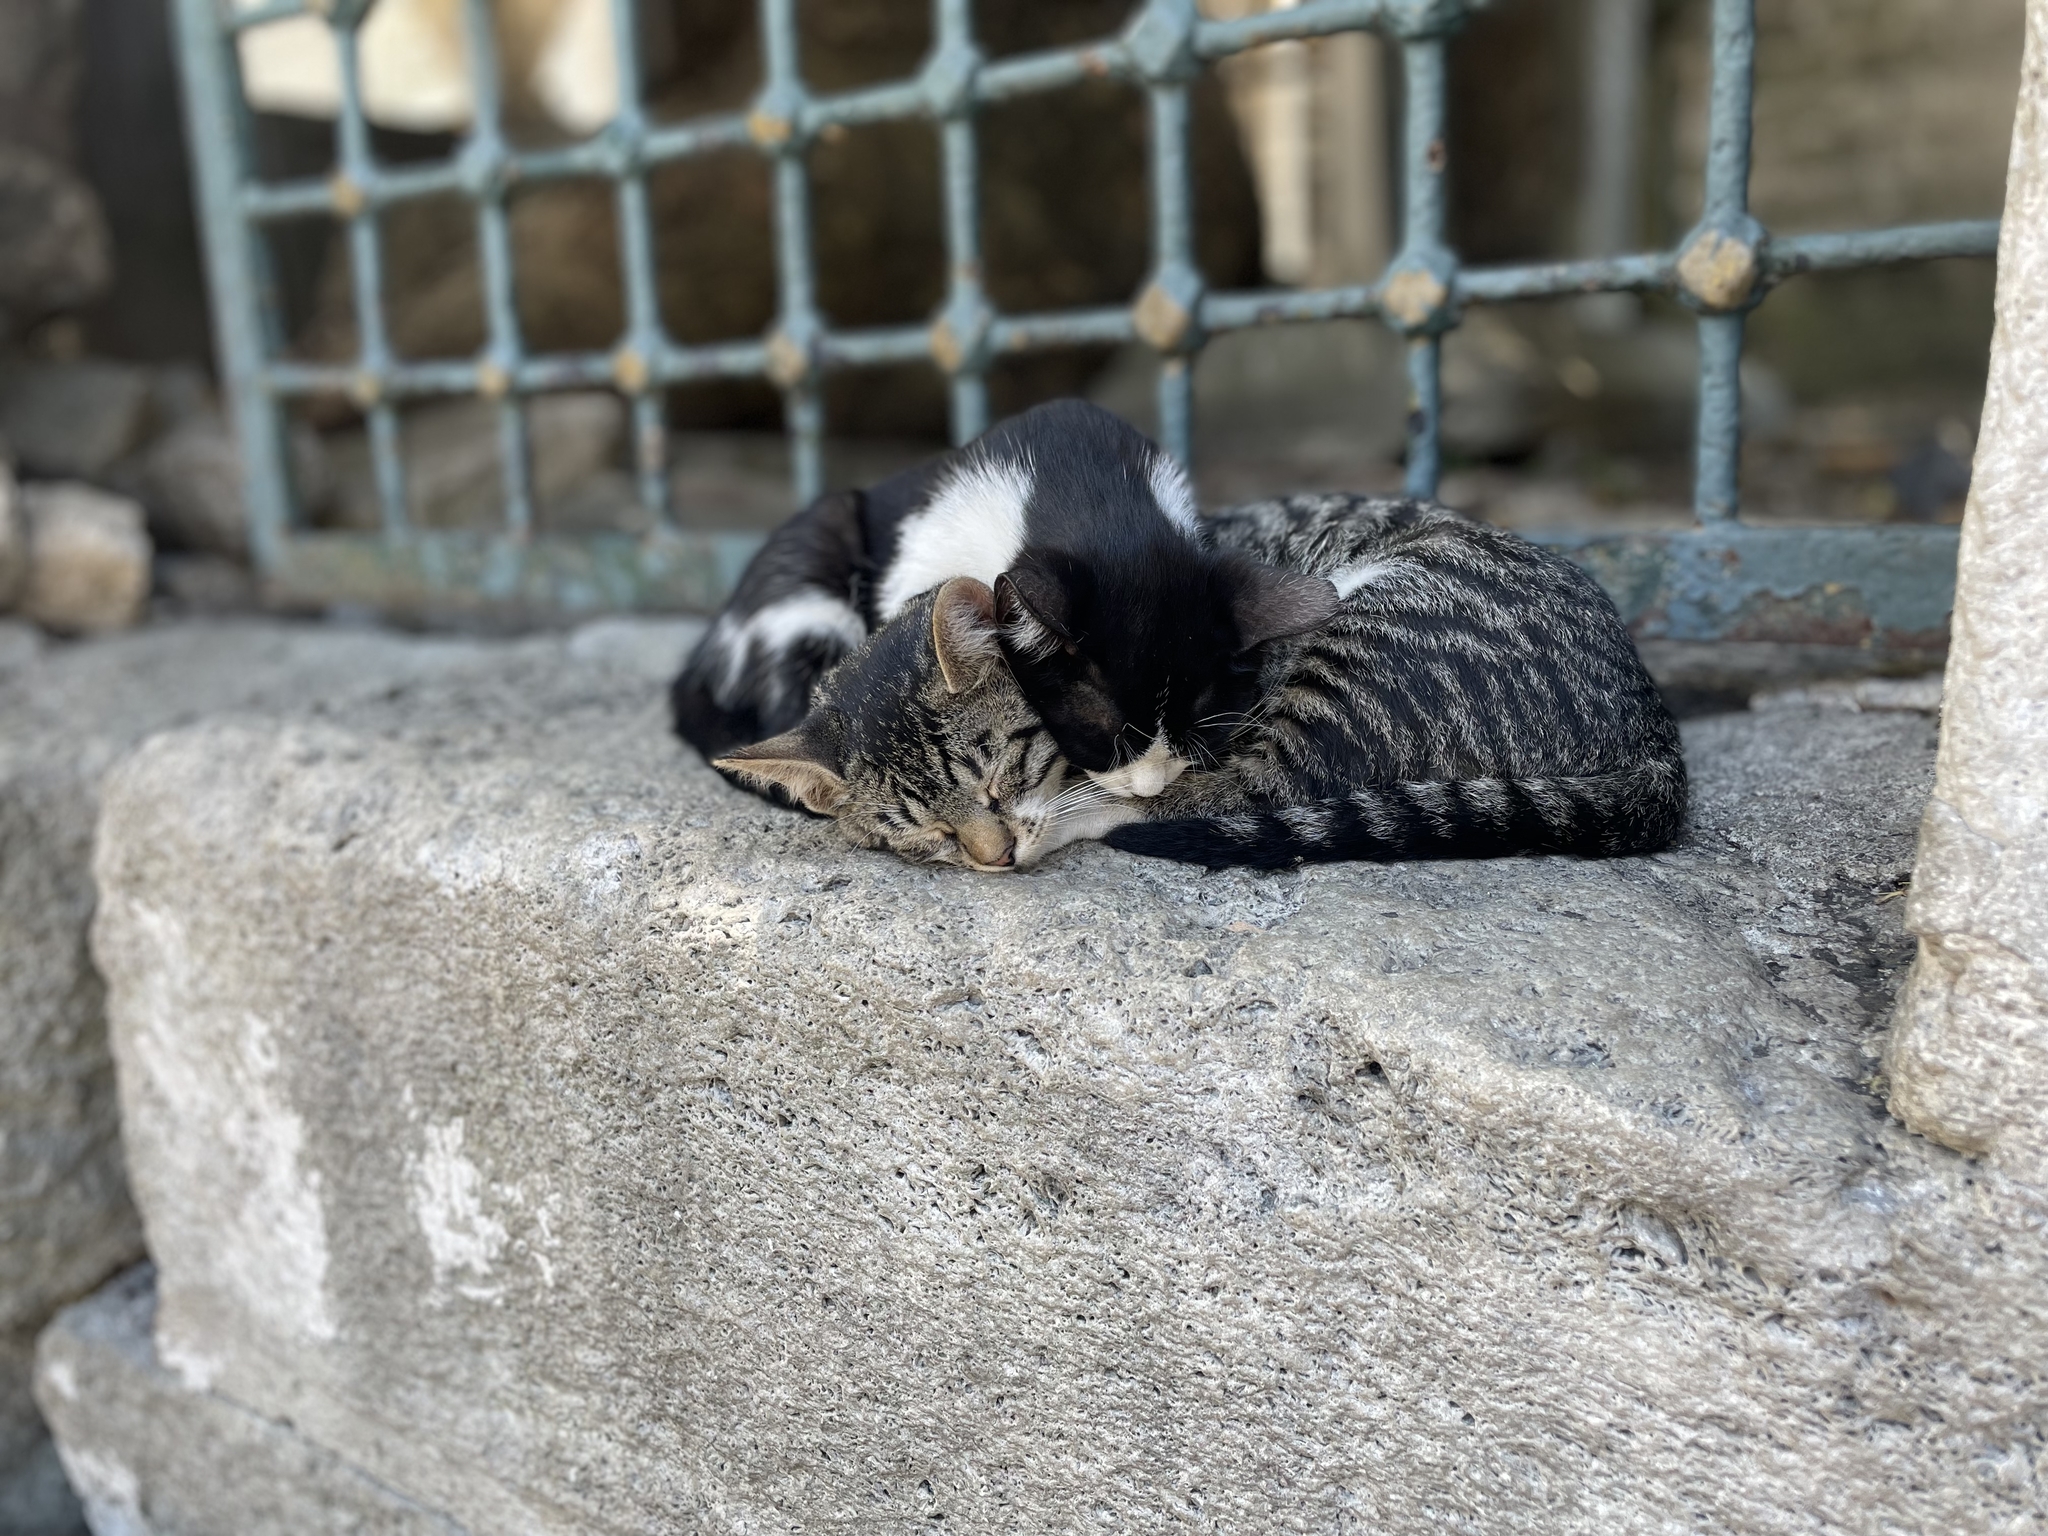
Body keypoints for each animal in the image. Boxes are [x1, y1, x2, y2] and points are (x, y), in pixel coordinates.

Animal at [712, 495, 1687, 872]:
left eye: (997, 776)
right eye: (917, 832)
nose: (993, 858)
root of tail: (1652, 725)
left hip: (1364, 638)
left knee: (1244, 791)